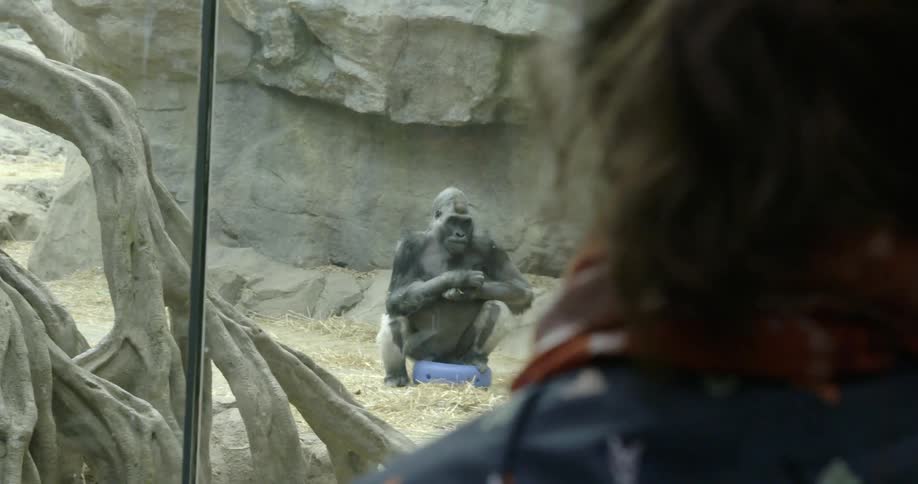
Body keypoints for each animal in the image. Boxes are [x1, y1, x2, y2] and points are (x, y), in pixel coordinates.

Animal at [377, 187, 534, 387]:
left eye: (466, 223)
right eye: (452, 221)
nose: (460, 234)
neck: (440, 238)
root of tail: (443, 359)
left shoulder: (490, 245)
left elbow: (521, 289)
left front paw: (471, 291)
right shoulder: (407, 245)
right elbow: (395, 296)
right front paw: (458, 278)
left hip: (455, 355)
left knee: (497, 305)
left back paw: (474, 358)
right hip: (421, 353)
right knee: (396, 315)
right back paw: (396, 376)